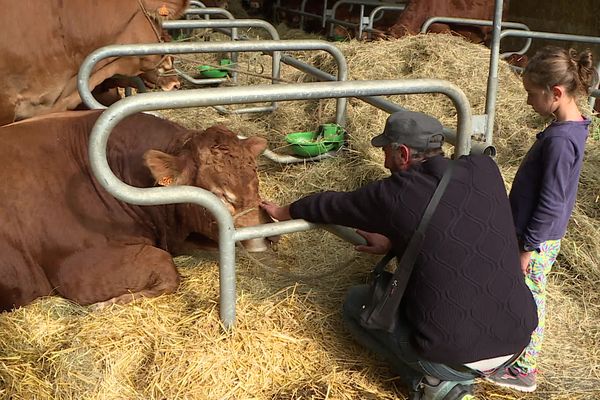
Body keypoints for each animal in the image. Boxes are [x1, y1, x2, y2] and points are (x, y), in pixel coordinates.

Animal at [0, 110, 270, 312]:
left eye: (256, 178)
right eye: (221, 194)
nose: (263, 237)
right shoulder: (78, 268)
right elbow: (165, 266)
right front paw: (111, 302)